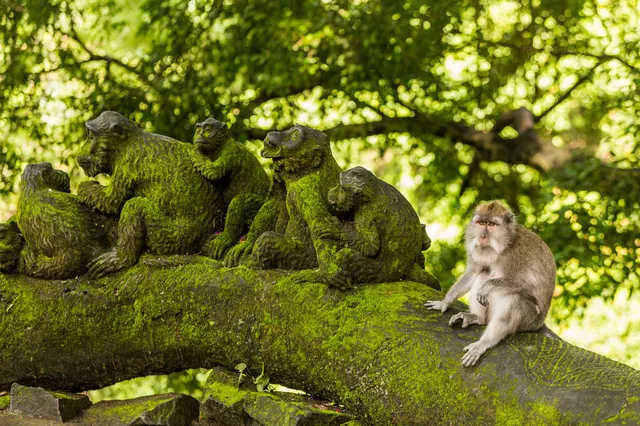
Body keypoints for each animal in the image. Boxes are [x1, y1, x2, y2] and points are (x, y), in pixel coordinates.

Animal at [424, 200, 556, 367]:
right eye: (481, 223)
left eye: (492, 224)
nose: (482, 236)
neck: (504, 245)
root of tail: (540, 323)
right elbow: (474, 272)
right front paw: (444, 302)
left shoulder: (516, 256)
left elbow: (527, 286)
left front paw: (487, 287)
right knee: (484, 273)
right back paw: (477, 318)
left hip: (530, 321)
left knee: (516, 300)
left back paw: (484, 342)